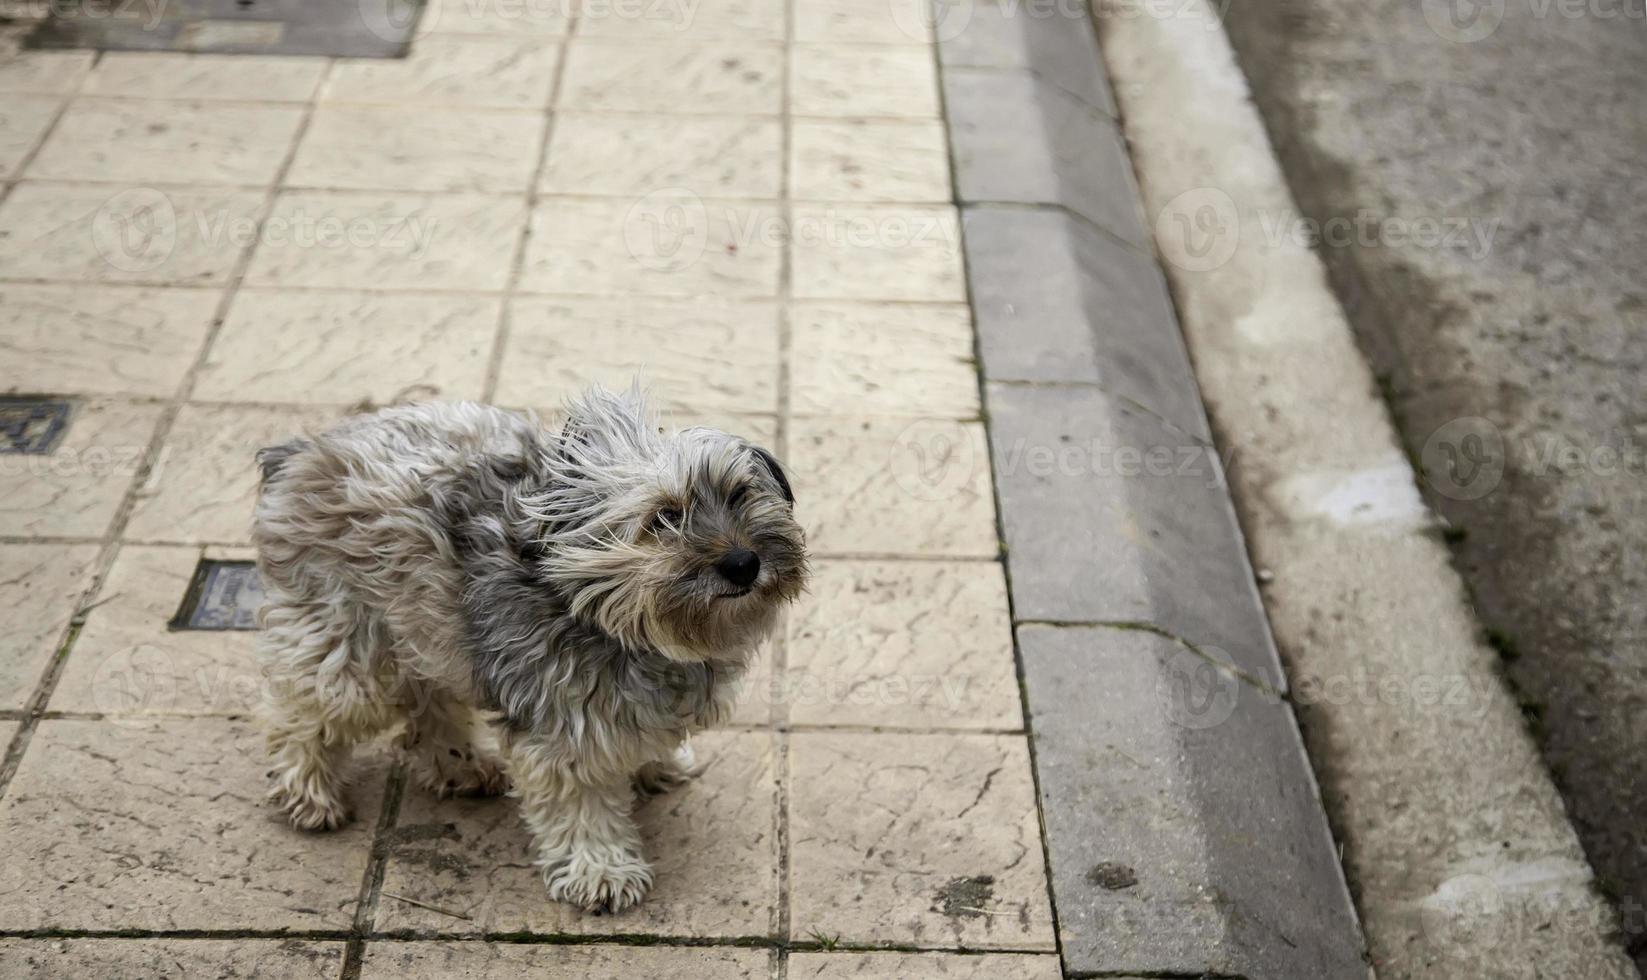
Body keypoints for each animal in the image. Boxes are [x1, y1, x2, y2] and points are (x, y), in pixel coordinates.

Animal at [250, 388, 810, 915]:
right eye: (665, 517)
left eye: (738, 494)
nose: (744, 564)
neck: (608, 615)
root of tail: (300, 452)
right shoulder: (567, 731)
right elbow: (582, 806)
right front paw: (601, 872)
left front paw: (656, 765)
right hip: (351, 647)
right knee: (304, 714)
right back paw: (307, 791)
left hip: (426, 621)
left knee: (428, 698)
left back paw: (458, 766)